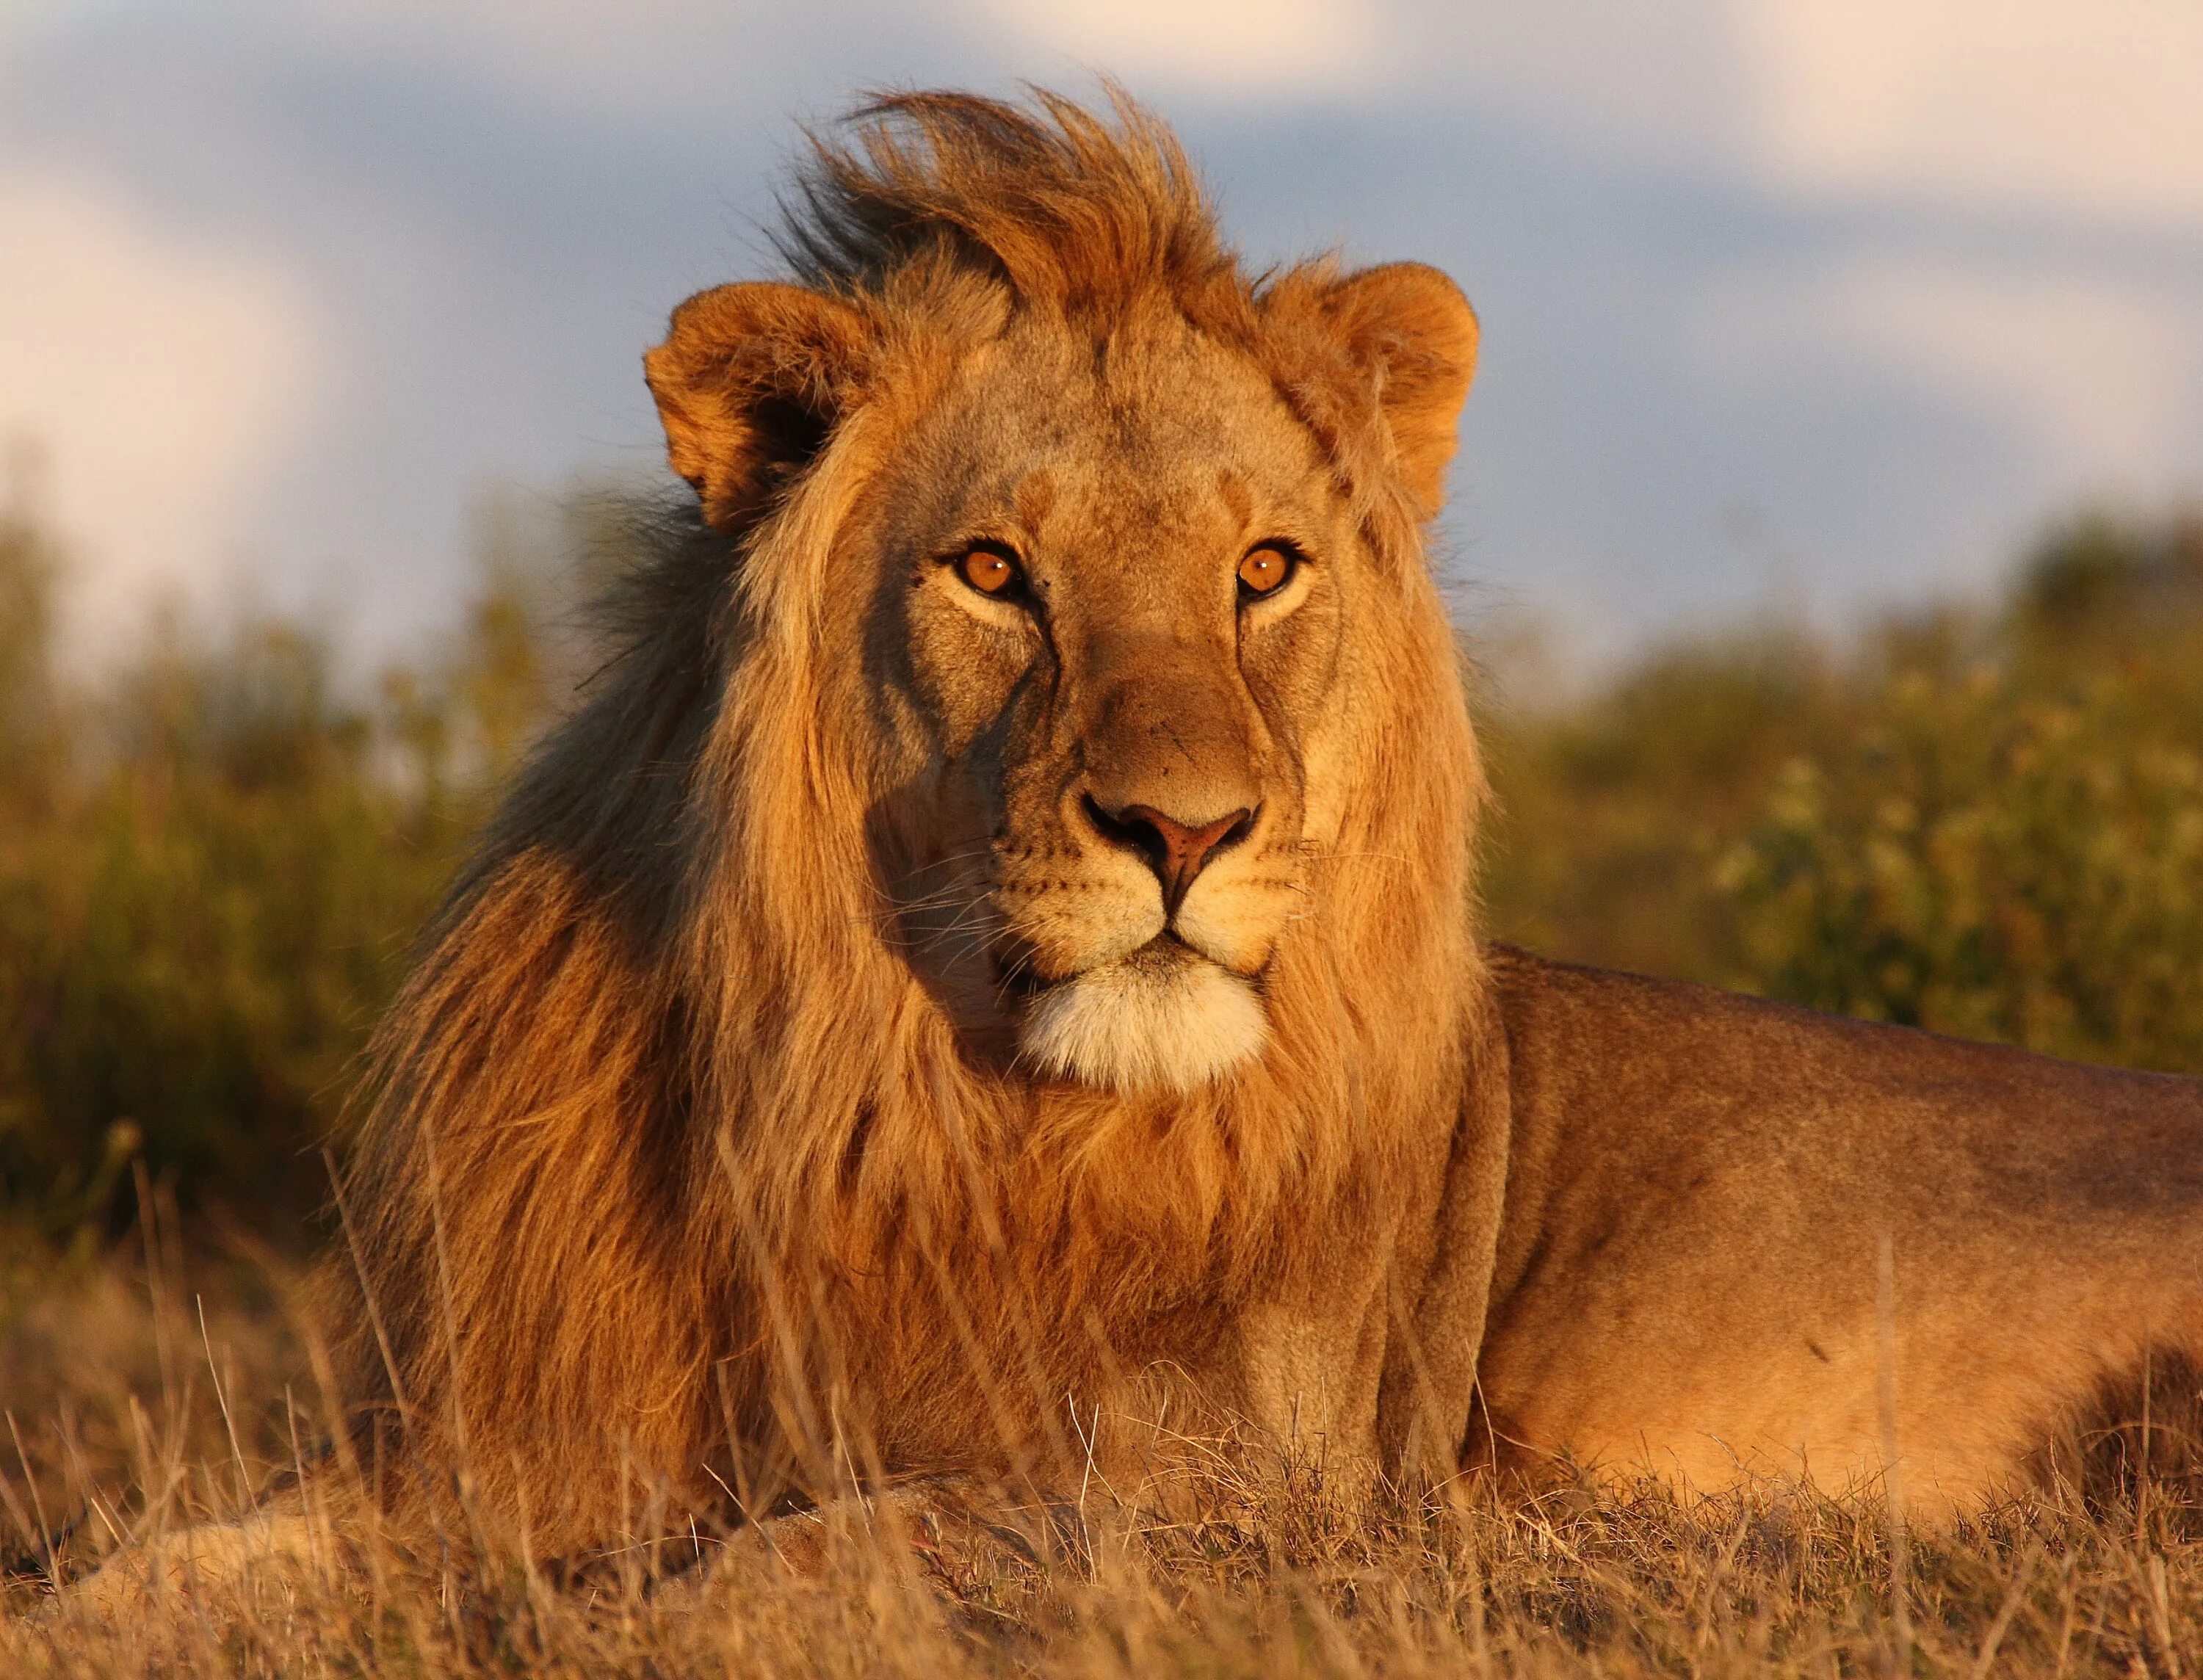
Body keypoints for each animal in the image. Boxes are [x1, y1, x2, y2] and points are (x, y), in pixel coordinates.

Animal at [60, 88, 2203, 1603]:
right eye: (994, 572)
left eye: (1262, 569)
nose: (1185, 827)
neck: (905, 1107)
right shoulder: (516, 1430)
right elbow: (167, 1560)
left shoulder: (1242, 1479)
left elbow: (830, 1542)